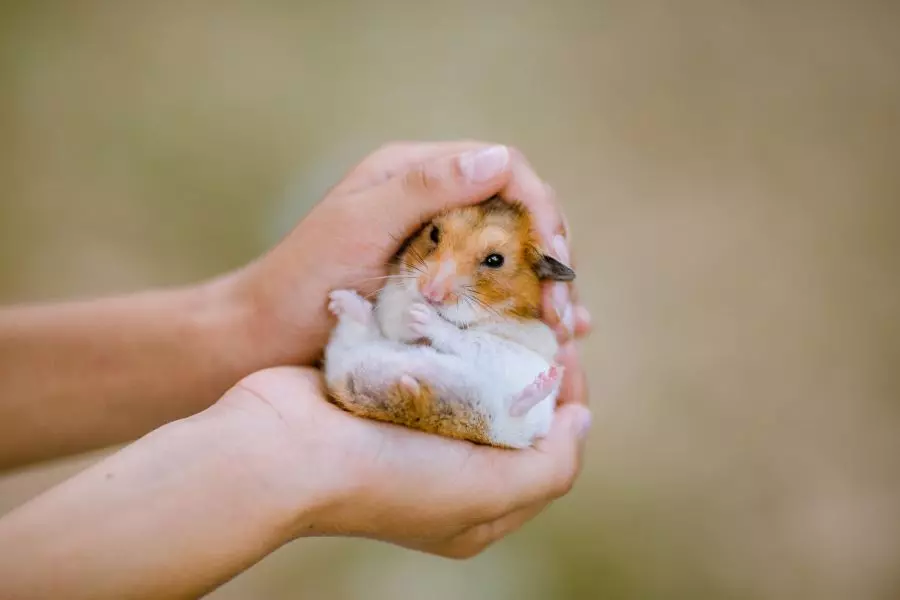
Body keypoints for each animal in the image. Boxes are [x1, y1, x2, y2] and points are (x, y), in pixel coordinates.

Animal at [323, 195, 575, 448]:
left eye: (495, 260)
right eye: (434, 233)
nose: (429, 294)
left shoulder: (528, 340)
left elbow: (467, 336)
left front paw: (420, 315)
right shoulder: (391, 300)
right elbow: (397, 317)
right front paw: (412, 312)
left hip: (517, 418)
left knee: (516, 410)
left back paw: (546, 381)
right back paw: (342, 301)